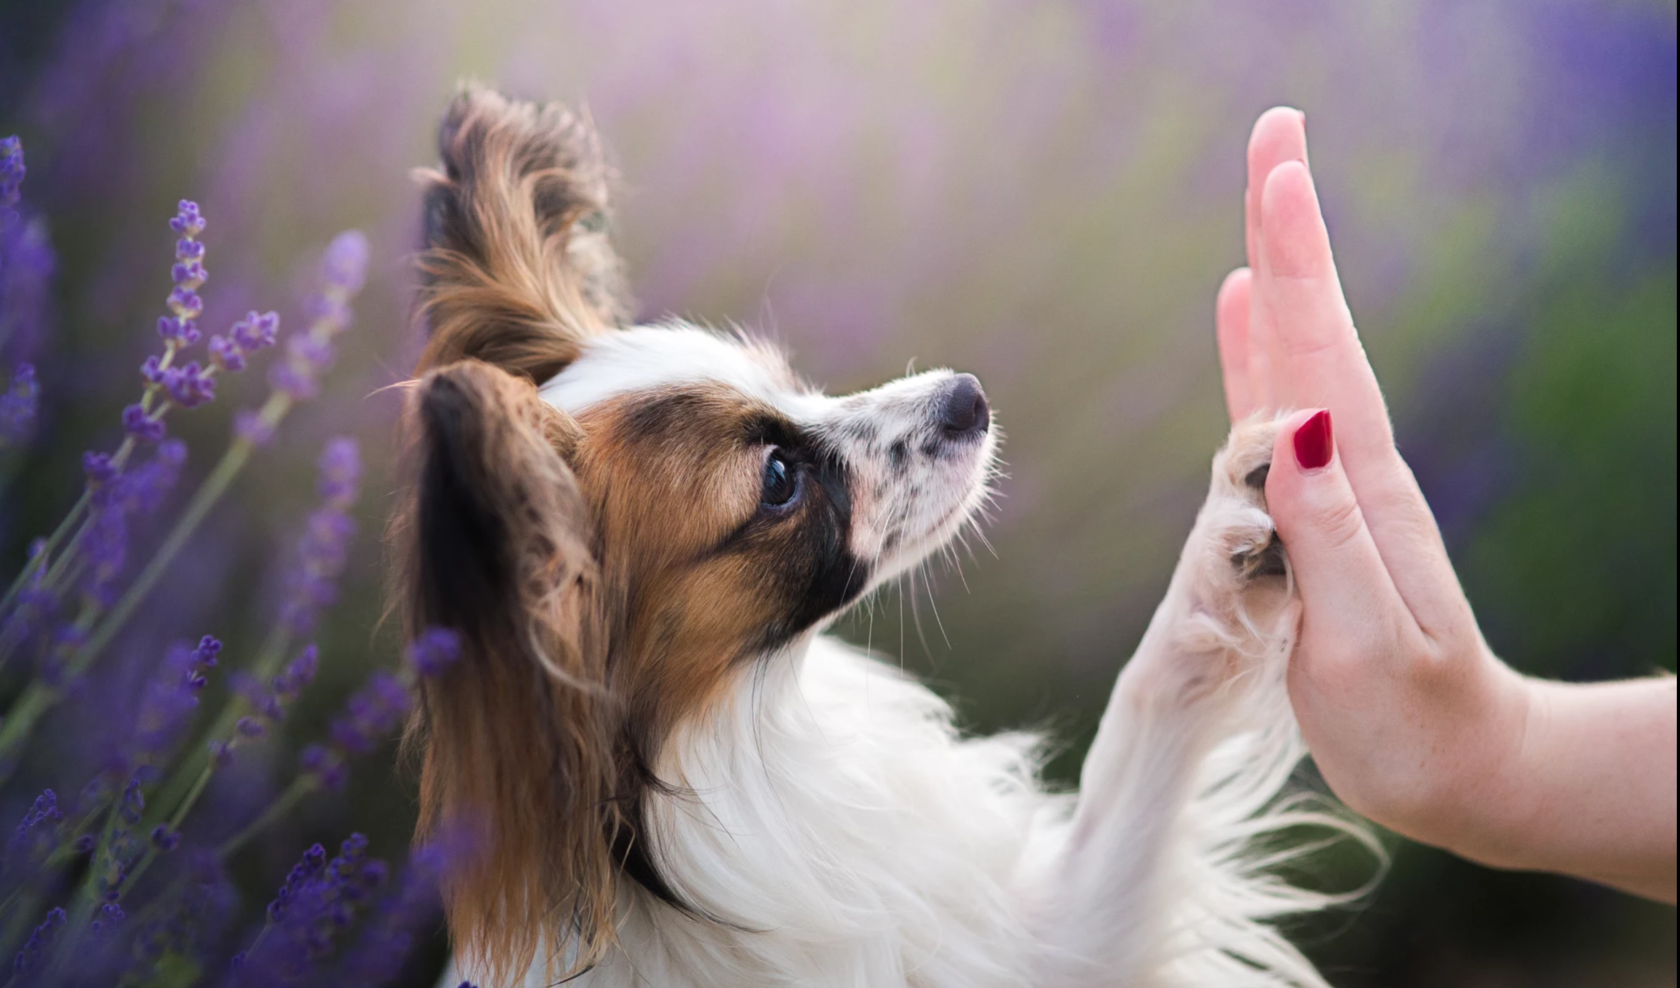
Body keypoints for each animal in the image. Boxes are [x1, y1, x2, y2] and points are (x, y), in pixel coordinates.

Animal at [399, 84, 1370, 988]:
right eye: (778, 480)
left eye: (790, 378)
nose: (969, 396)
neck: (745, 734)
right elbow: (1140, 713)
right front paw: (1223, 547)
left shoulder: (1056, 930)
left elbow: (1148, 725)